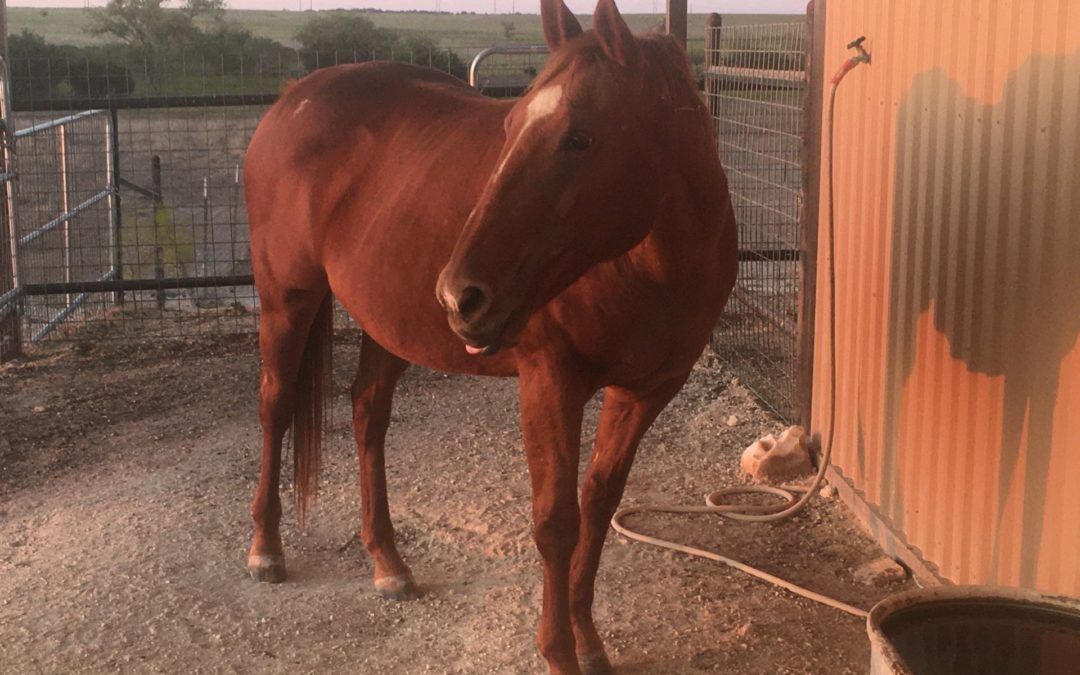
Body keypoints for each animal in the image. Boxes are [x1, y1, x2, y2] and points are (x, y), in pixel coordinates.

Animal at [242, 0, 737, 671]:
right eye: (509, 129)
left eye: (579, 138)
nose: (459, 297)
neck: (654, 266)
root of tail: (294, 96)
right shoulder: (549, 382)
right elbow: (556, 521)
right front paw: (558, 651)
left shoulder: (646, 392)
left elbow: (600, 504)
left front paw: (588, 639)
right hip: (286, 300)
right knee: (276, 407)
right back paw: (266, 549)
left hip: (387, 323)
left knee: (368, 412)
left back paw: (388, 563)